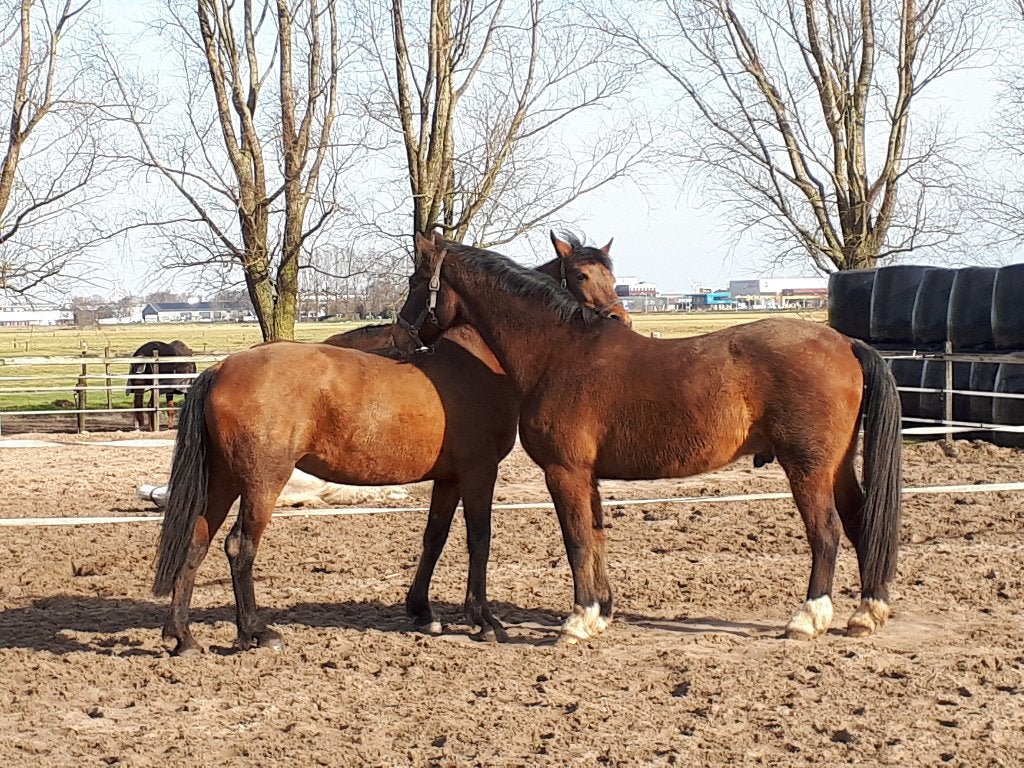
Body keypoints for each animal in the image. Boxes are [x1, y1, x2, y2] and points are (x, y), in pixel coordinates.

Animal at [153, 233, 628, 655]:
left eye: (611, 272)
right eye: (581, 274)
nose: (620, 321)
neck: (476, 358)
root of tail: (222, 368)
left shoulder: (450, 477)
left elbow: (434, 536)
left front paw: (423, 612)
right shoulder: (480, 470)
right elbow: (479, 538)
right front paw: (485, 620)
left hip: (224, 479)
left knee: (197, 540)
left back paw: (184, 638)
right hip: (262, 482)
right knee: (239, 547)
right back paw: (256, 631)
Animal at [398, 233, 903, 643]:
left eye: (414, 280)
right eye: (581, 275)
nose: (401, 333)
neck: (558, 353)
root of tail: (844, 343)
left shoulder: (565, 472)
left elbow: (576, 540)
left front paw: (577, 622)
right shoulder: (588, 476)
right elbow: (596, 536)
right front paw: (598, 614)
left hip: (807, 468)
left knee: (827, 532)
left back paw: (807, 618)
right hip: (836, 465)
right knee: (858, 521)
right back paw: (866, 613)